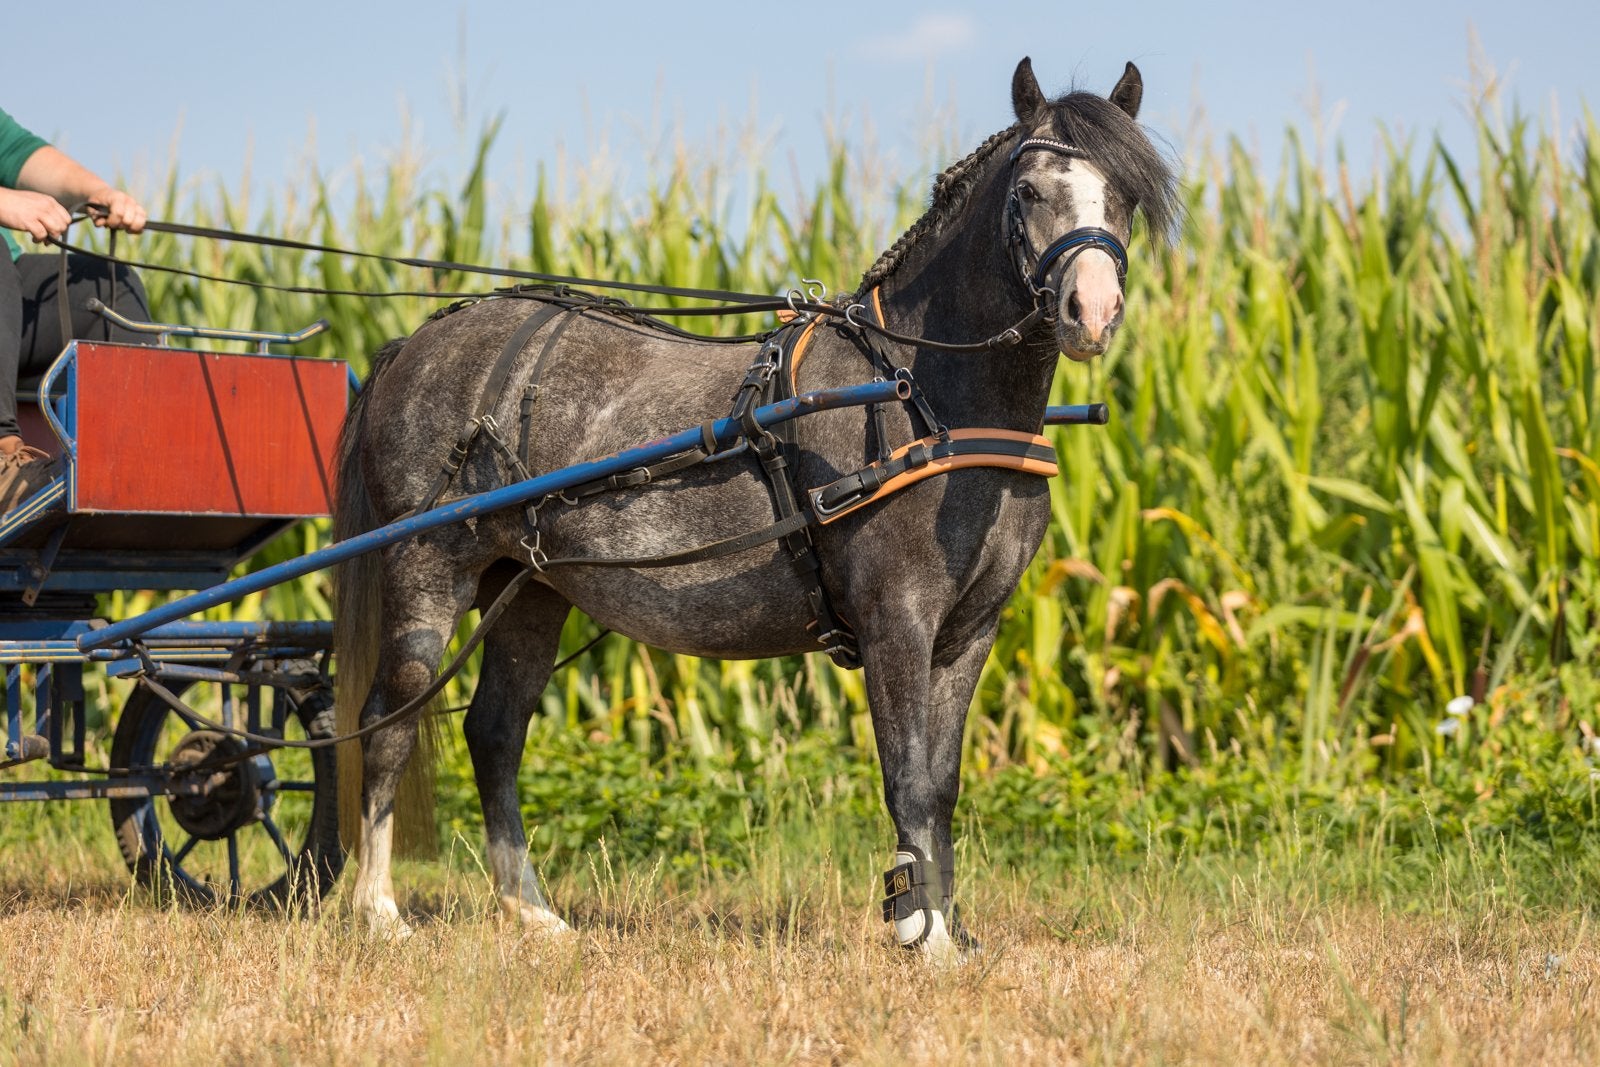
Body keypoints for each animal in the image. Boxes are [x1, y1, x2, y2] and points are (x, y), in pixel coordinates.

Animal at [333, 57, 1178, 958]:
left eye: (1125, 192)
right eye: (1027, 190)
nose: (1091, 312)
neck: (920, 389)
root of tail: (416, 344)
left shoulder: (971, 627)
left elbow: (943, 784)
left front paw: (945, 927)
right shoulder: (897, 617)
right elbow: (908, 778)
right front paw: (920, 930)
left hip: (530, 587)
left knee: (494, 733)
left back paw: (532, 910)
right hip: (426, 566)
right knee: (388, 719)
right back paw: (378, 908)